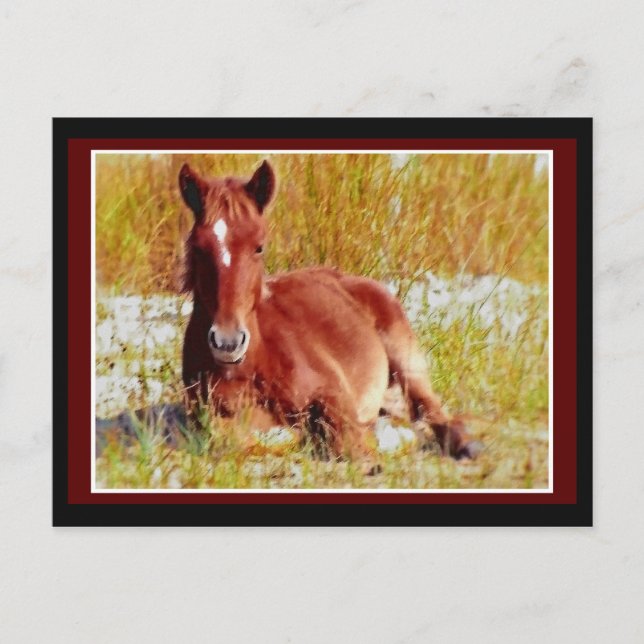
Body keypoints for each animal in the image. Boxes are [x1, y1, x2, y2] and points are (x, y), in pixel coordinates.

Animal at [178, 160, 481, 470]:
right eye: (199, 248)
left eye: (259, 246)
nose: (227, 342)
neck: (251, 366)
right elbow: (234, 439)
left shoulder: (334, 393)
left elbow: (347, 439)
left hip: (406, 358)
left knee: (434, 412)